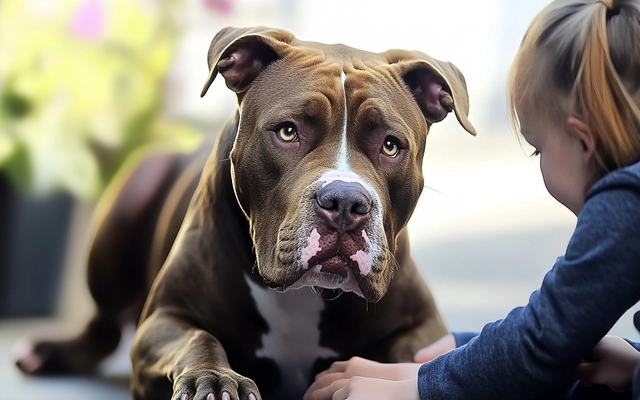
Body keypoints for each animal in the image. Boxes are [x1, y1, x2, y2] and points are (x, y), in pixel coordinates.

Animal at [13, 26, 476, 398]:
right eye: (287, 132)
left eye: (391, 145)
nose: (345, 202)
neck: (304, 294)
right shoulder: (163, 318)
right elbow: (196, 339)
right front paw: (215, 378)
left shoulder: (426, 327)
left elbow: (414, 355)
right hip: (133, 192)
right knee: (104, 326)